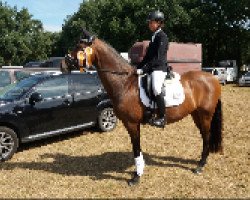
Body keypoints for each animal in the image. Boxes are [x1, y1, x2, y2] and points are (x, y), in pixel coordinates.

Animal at [61, 30, 224, 186]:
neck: (125, 84)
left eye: (79, 47)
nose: (63, 64)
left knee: (207, 136)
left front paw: (136, 176)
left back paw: (200, 166)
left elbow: (136, 148)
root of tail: (213, 78)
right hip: (196, 114)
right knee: (204, 136)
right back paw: (200, 162)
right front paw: (139, 172)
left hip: (205, 114)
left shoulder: (132, 123)